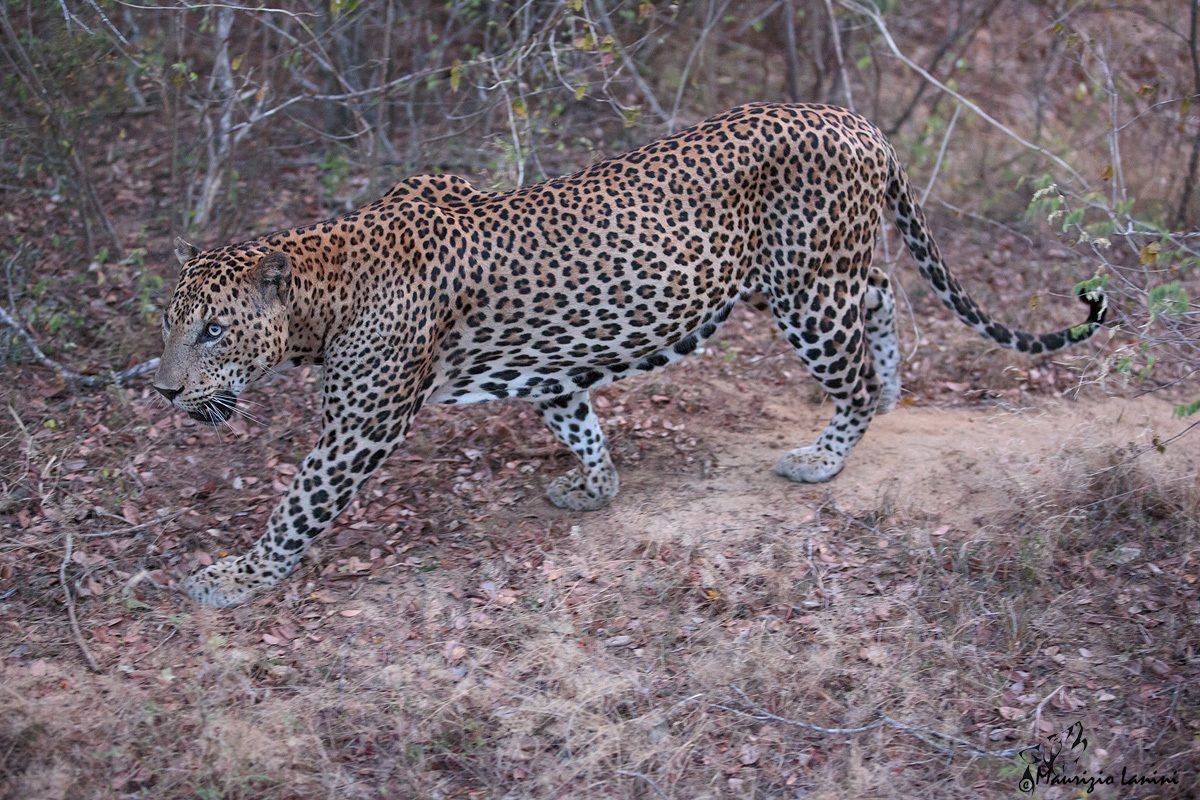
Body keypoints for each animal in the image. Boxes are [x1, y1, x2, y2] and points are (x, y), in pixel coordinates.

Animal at [154, 103, 1107, 607]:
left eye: (211, 331)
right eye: (169, 323)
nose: (158, 390)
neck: (323, 289)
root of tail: (853, 118)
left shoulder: (359, 427)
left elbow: (296, 508)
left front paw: (233, 576)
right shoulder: (550, 372)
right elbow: (583, 427)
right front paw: (593, 489)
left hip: (801, 291)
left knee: (857, 380)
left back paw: (823, 456)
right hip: (829, 269)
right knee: (882, 291)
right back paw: (901, 379)